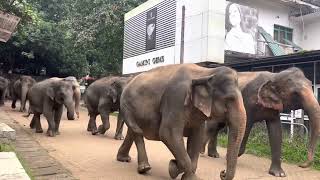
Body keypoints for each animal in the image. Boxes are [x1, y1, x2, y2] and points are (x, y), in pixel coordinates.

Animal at [116, 64, 246, 180]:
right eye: (229, 99)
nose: (222, 173)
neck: (206, 72)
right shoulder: (175, 98)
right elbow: (168, 134)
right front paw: (178, 170)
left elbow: (197, 137)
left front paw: (175, 168)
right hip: (127, 106)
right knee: (137, 131)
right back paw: (144, 168)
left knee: (133, 131)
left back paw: (124, 159)